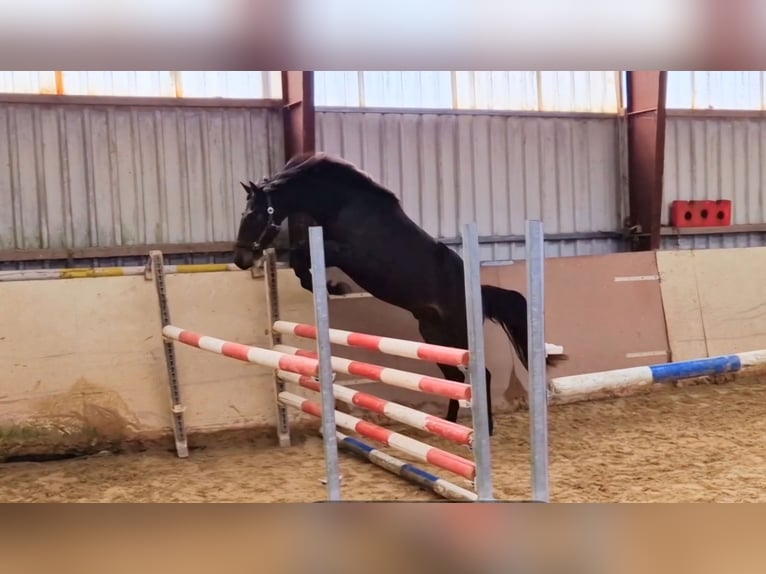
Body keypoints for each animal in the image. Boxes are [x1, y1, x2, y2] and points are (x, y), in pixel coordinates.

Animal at [234, 153, 564, 436]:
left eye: (255, 215)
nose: (241, 260)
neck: (346, 205)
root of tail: (479, 293)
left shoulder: (348, 254)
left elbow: (301, 255)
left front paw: (333, 287)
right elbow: (299, 258)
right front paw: (326, 286)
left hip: (458, 336)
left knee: (481, 375)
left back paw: (484, 431)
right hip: (433, 336)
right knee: (454, 379)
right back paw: (446, 426)